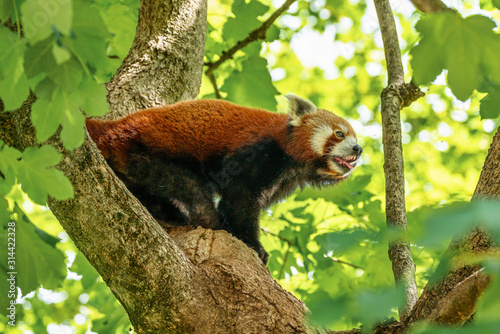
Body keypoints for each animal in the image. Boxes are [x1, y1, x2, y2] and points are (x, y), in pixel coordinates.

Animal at [85, 94, 360, 264]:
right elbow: (239, 199)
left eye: (355, 139)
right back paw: (200, 218)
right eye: (339, 134)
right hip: (143, 154)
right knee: (189, 188)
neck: (290, 156)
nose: (358, 149)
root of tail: (116, 127)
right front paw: (252, 244)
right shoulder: (256, 151)